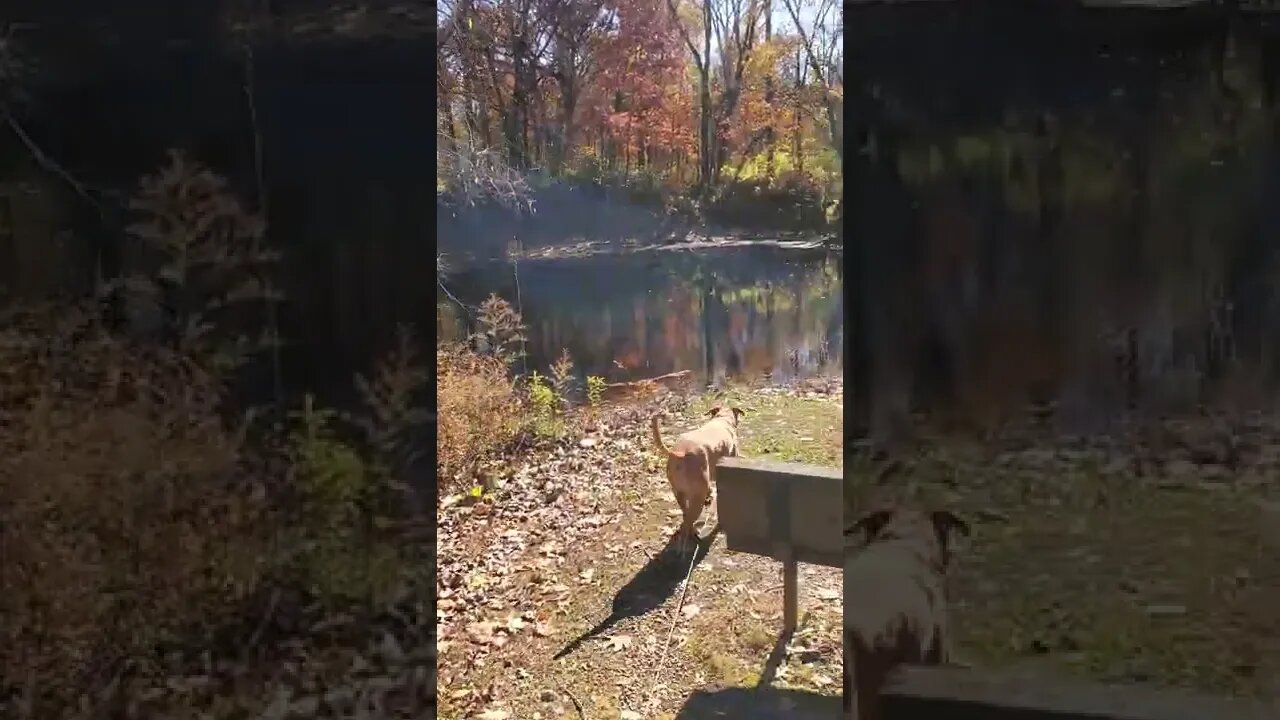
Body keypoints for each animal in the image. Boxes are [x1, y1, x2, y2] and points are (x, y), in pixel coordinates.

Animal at [655, 399, 747, 545]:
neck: (722, 418)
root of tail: (680, 453)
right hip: (697, 497)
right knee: (687, 523)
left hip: (680, 494)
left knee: (686, 516)